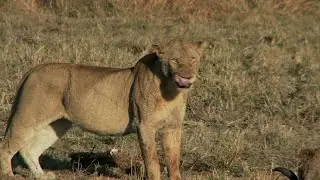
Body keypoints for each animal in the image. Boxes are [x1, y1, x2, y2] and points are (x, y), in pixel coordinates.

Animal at [0, 39, 208, 179]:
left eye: (193, 59)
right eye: (174, 60)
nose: (188, 76)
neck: (171, 90)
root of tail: (34, 69)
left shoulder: (173, 127)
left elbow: (173, 160)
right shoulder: (144, 125)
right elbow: (152, 161)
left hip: (57, 125)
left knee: (29, 150)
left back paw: (43, 176)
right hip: (28, 116)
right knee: (7, 146)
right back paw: (9, 175)